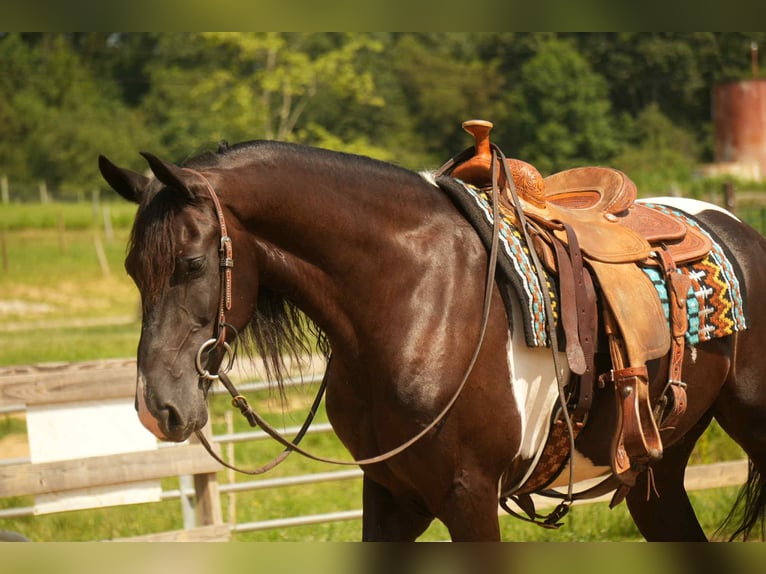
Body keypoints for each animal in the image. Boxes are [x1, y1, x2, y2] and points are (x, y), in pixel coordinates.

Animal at [99, 138, 766, 541]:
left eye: (190, 264)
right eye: (132, 270)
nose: (156, 409)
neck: (414, 295)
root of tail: (738, 230)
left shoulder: (470, 498)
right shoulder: (391, 497)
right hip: (659, 467)